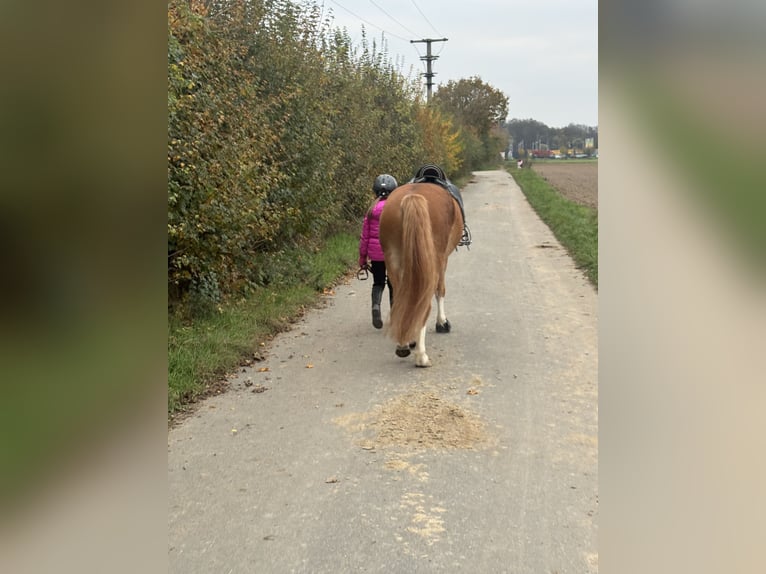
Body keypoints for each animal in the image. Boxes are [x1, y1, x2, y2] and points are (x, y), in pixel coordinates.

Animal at [380, 182, 464, 366]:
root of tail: (412, 197)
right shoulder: (442, 260)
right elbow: (441, 290)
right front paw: (442, 323)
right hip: (433, 261)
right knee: (424, 303)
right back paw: (421, 356)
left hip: (393, 261)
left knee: (402, 302)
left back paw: (404, 345)